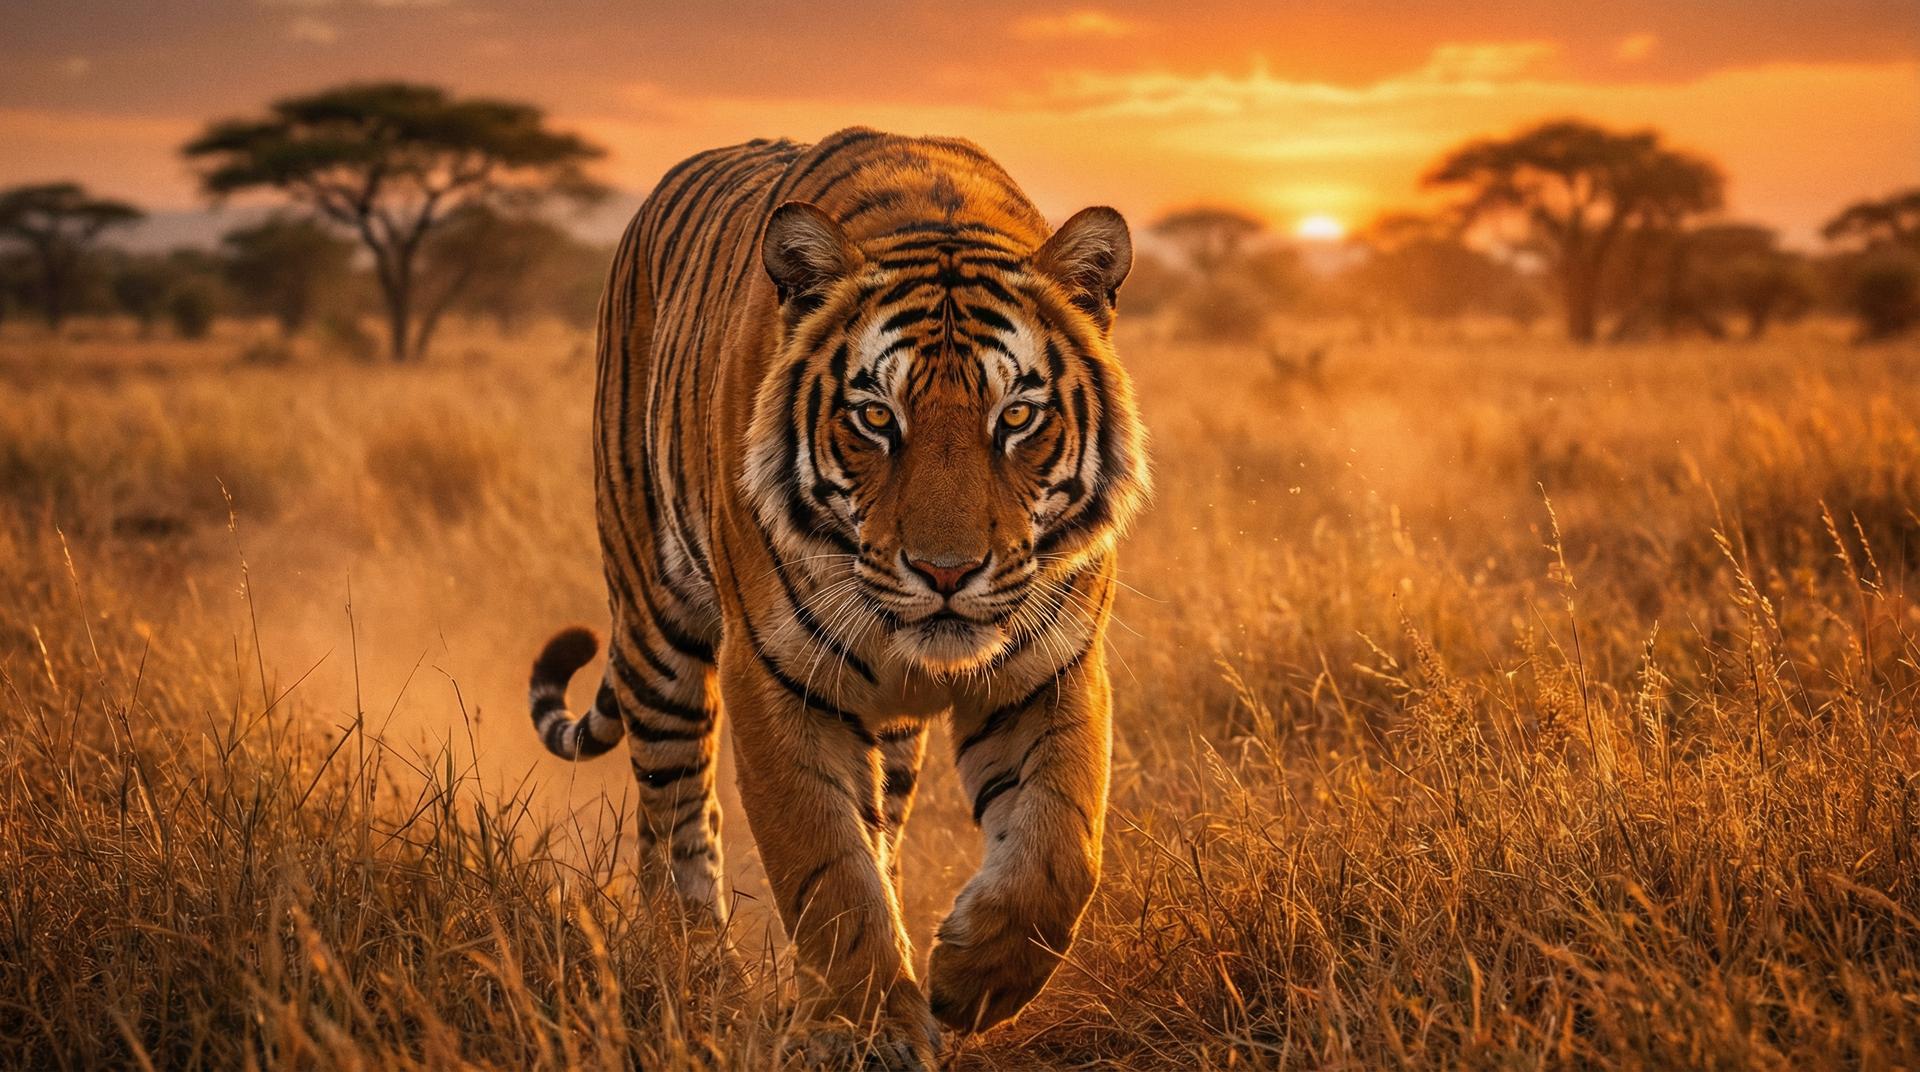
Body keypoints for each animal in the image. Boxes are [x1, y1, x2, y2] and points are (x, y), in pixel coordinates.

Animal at [526, 127, 1149, 1069]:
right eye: (876, 418)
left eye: (1015, 417)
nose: (945, 572)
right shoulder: (779, 677)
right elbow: (827, 869)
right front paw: (870, 1028)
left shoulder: (1053, 665)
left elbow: (1060, 847)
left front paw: (971, 979)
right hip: (654, 620)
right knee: (675, 812)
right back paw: (698, 975)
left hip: (888, 727)